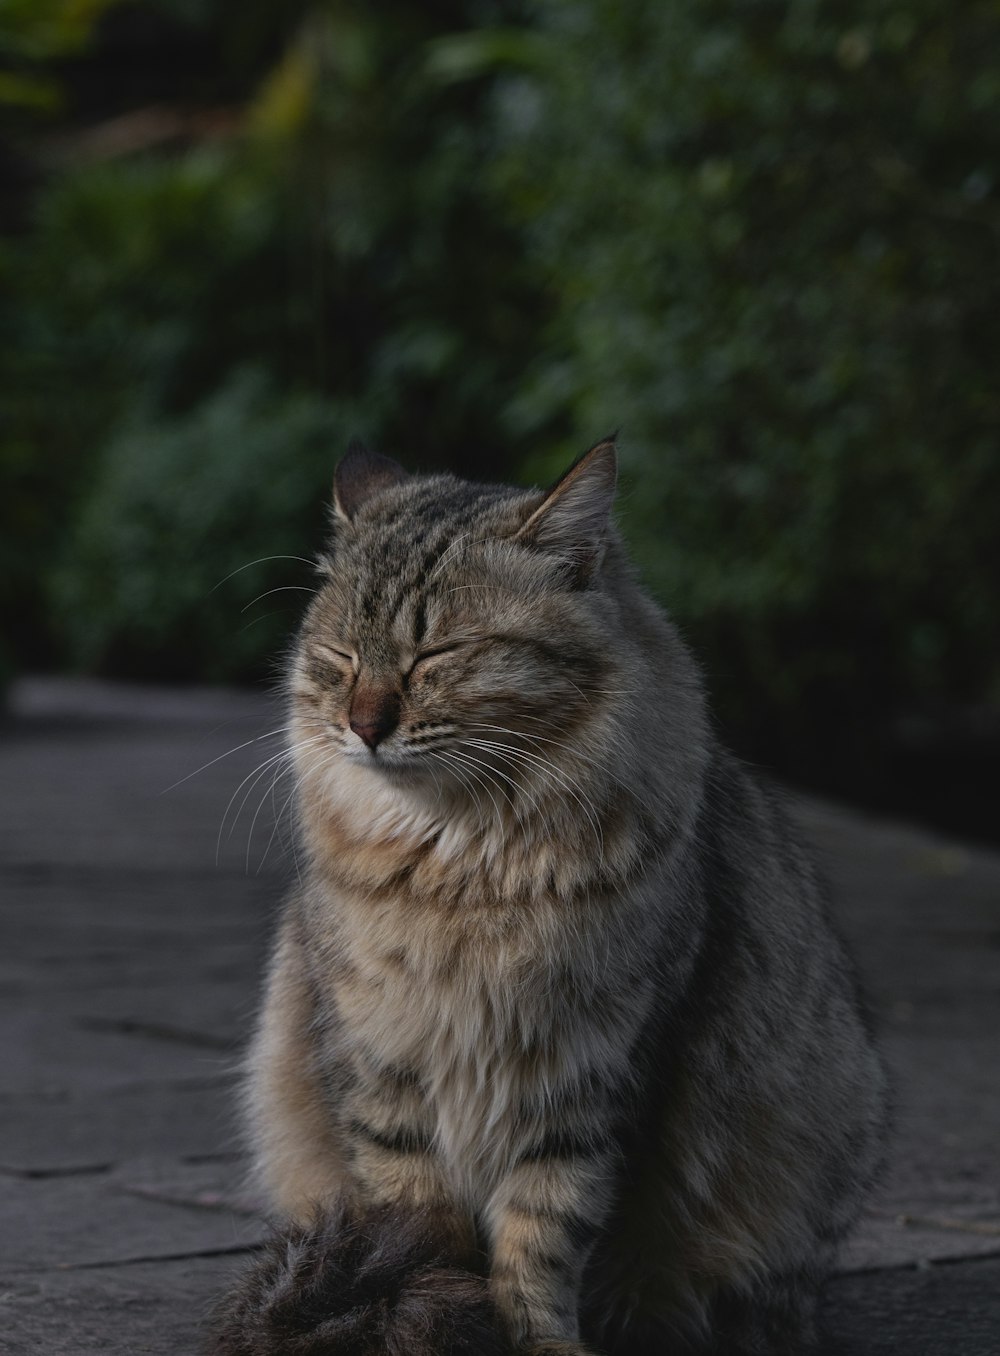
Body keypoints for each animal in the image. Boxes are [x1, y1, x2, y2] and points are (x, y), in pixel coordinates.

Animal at [213, 439, 890, 1350]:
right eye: (342, 658)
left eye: (437, 656)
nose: (363, 725)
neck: (464, 864)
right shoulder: (378, 1063)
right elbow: (418, 1219)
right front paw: (424, 1308)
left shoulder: (594, 1076)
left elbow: (543, 1237)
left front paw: (537, 1338)